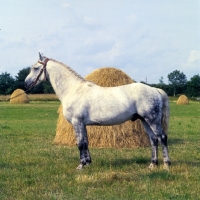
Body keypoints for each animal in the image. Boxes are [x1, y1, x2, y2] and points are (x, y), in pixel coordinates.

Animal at [24, 53, 170, 170]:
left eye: (35, 68)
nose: (25, 83)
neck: (73, 89)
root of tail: (155, 90)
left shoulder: (77, 123)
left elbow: (80, 143)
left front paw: (81, 166)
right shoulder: (83, 124)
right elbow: (85, 142)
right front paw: (88, 162)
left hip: (152, 120)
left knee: (162, 137)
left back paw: (166, 164)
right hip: (145, 120)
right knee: (153, 139)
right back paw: (152, 164)